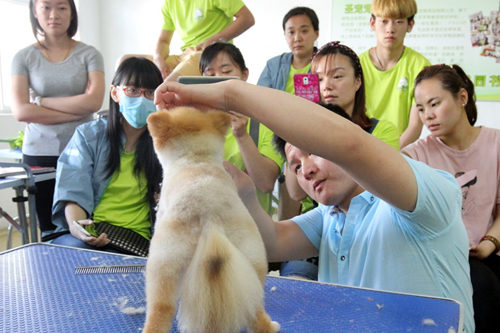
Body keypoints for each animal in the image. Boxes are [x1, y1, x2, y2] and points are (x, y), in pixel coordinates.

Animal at [144, 106, 282, 332]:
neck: (196, 157)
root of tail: (210, 218)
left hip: (164, 263)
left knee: (161, 308)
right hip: (252, 259)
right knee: (255, 307)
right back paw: (269, 326)